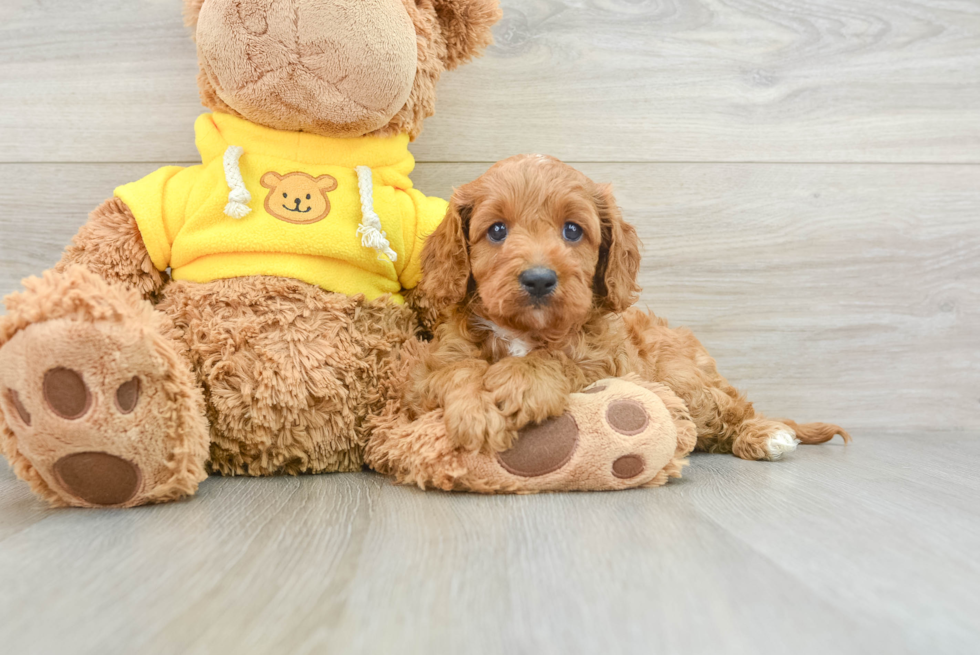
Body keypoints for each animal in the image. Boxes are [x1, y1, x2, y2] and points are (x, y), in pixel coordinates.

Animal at [410, 155, 848, 462]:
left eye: (573, 230)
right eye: (497, 230)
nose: (538, 279)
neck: (524, 331)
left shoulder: (608, 363)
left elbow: (560, 360)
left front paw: (521, 380)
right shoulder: (432, 366)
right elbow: (456, 371)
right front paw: (477, 410)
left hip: (683, 379)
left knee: (732, 409)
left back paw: (766, 435)